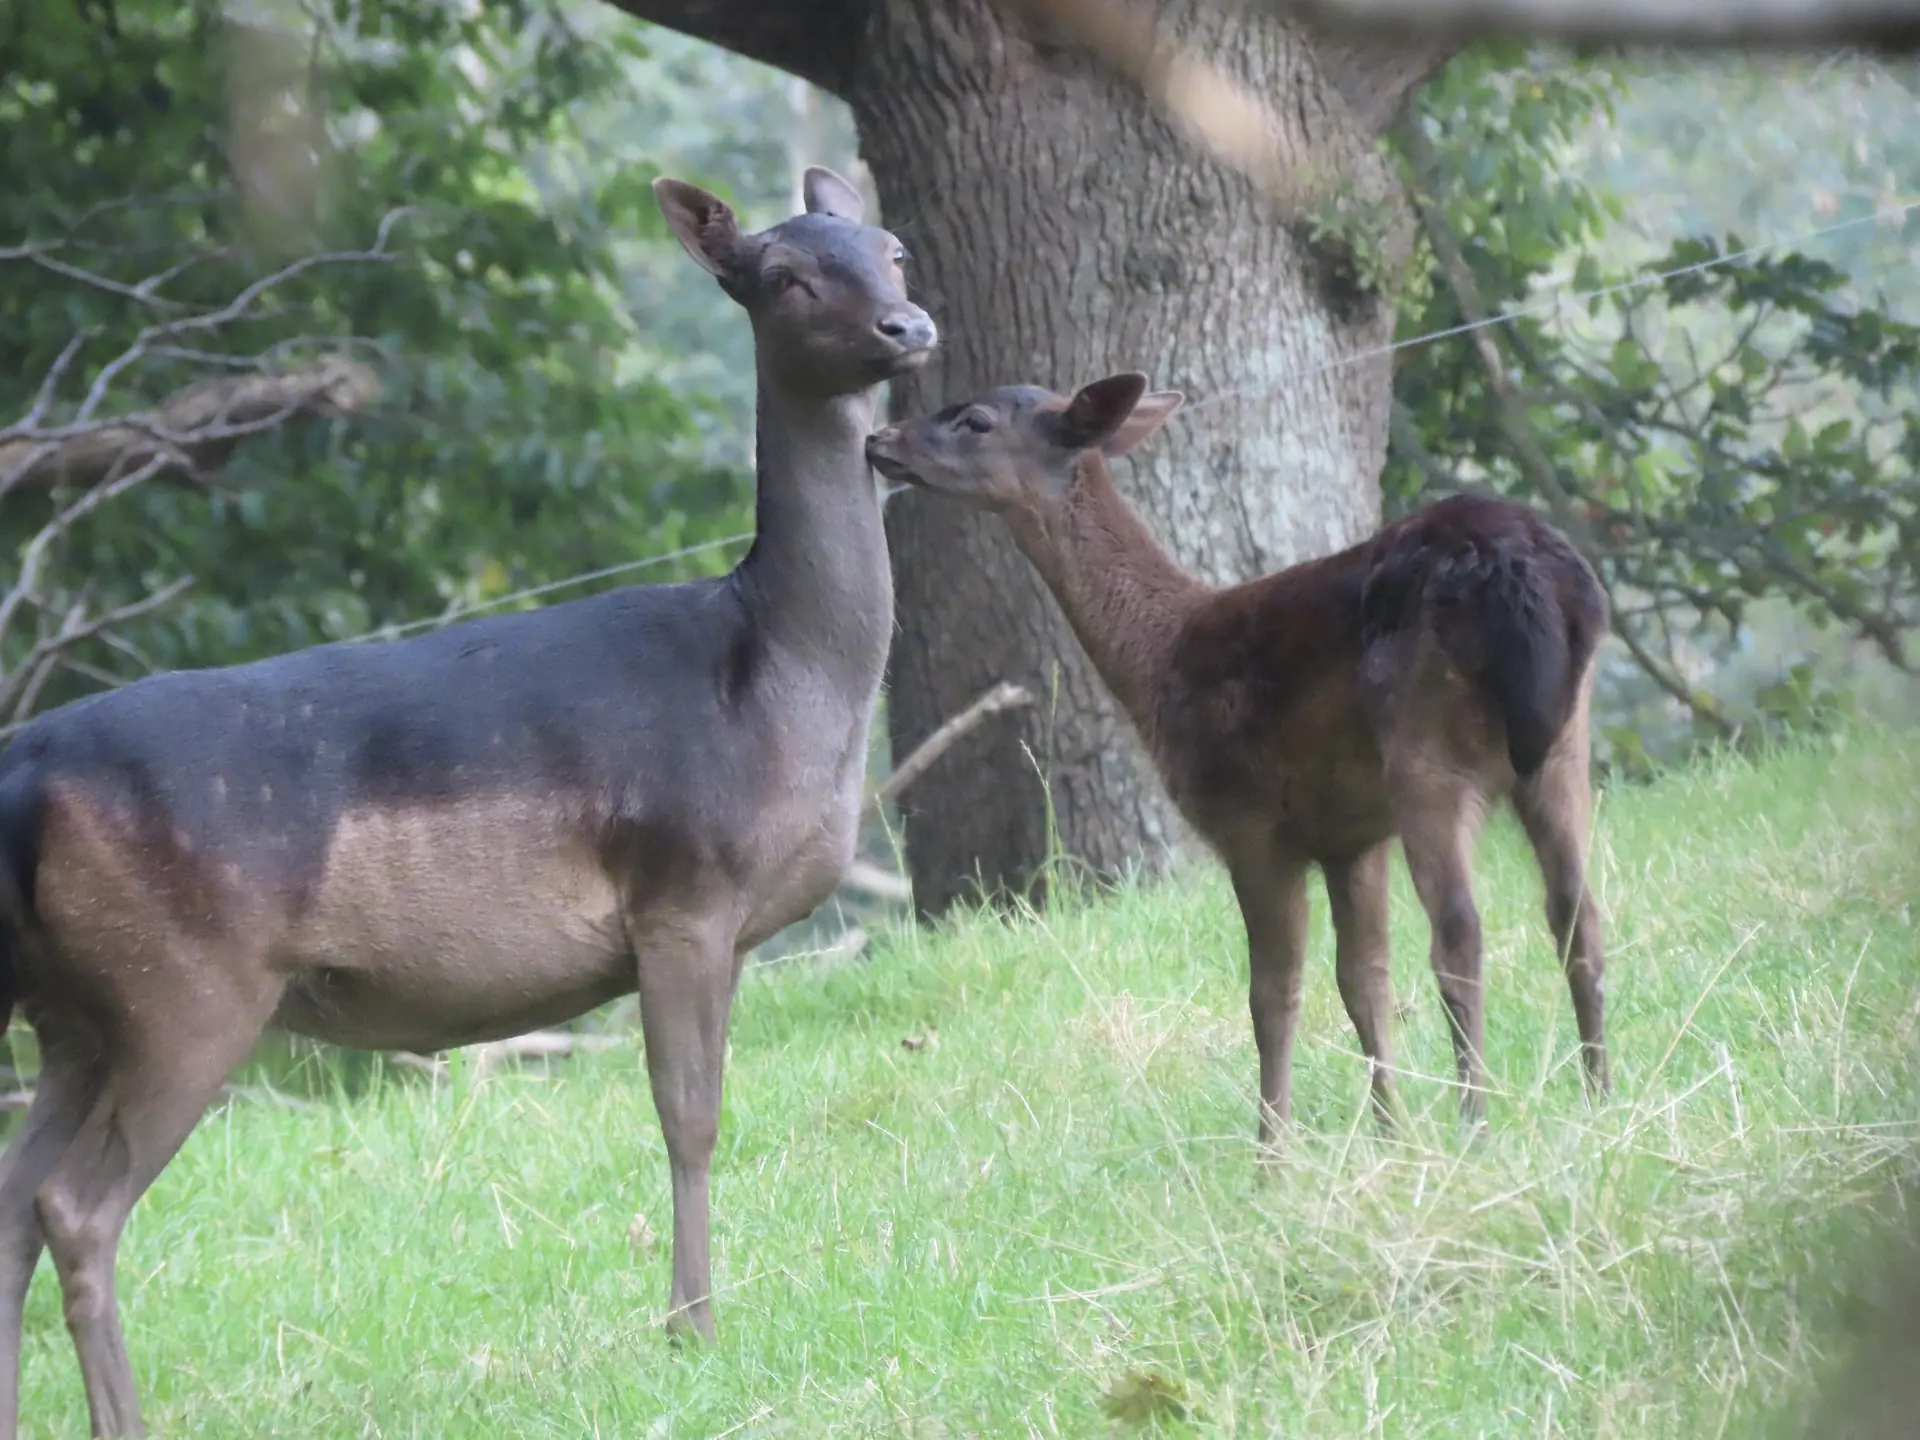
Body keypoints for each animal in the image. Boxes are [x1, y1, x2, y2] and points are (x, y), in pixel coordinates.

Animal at [0, 165, 934, 1438]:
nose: (908, 327)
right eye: (786, 276)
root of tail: (19, 778)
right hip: (182, 988)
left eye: (891, 248)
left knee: (12, 1200)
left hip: (72, 1013)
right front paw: (692, 1332)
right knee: (76, 1206)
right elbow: (687, 1112)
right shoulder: (684, 887)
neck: (779, 683)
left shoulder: (735, 927)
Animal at [866, 372, 1609, 1140]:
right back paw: (1600, 1097)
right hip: (1562, 746)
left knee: (1461, 931)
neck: (1159, 658)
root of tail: (1525, 575)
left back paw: (1475, 1122)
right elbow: (1363, 980)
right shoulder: (1349, 834)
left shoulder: (1249, 821)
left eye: (975, 420)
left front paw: (1272, 1150)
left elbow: (1272, 996)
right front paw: (1390, 1133)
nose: (879, 439)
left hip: (1424, 750)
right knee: (1577, 912)